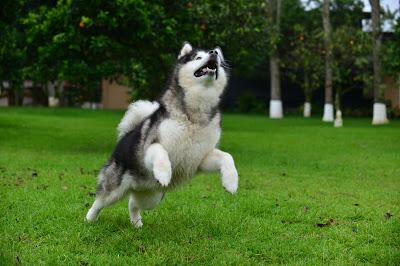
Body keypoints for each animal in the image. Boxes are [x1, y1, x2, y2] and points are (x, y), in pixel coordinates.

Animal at [85, 42, 238, 228]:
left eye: (218, 56)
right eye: (197, 57)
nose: (214, 52)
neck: (194, 115)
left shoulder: (201, 157)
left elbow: (227, 156)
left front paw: (231, 182)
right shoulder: (151, 147)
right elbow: (160, 151)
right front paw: (164, 173)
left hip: (152, 197)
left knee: (133, 203)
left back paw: (136, 223)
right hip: (115, 188)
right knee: (99, 201)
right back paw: (89, 219)